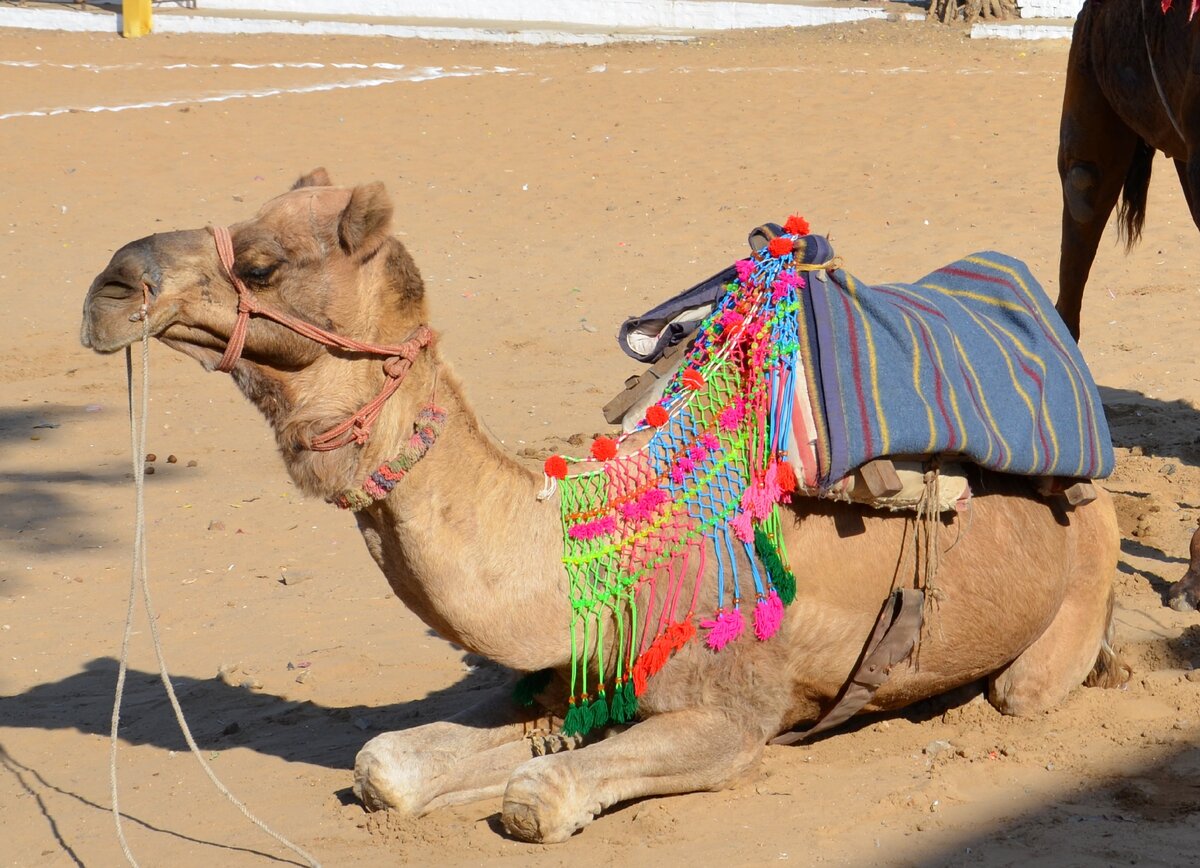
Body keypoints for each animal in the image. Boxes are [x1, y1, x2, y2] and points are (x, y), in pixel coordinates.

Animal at [79, 169, 1128, 840]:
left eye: (260, 264)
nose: (112, 282)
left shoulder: (735, 715)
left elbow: (537, 792)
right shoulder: (562, 672)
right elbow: (389, 764)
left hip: (1065, 605)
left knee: (1023, 688)